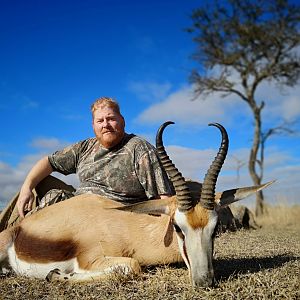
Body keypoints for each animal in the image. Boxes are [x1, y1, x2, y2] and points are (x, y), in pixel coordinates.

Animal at [0, 122, 272, 288]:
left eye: (215, 229)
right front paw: (57, 274)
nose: (204, 280)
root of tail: (18, 228)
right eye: (178, 227)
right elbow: (132, 266)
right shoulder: (92, 258)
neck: (125, 225)